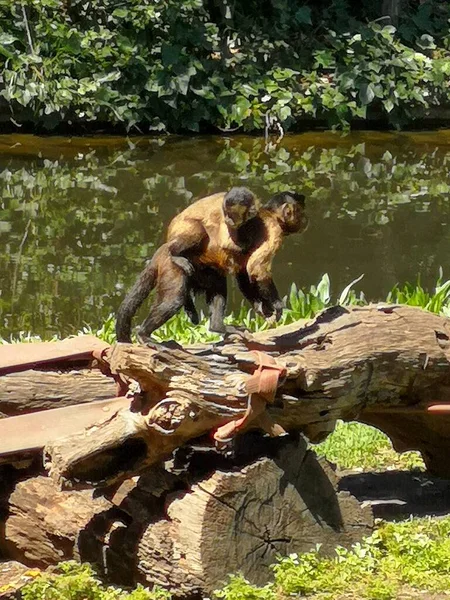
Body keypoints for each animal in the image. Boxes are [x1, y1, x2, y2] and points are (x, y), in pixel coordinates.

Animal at [115, 189, 310, 346]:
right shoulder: (273, 230)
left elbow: (243, 272)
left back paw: (217, 326)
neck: (270, 214)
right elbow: (256, 269)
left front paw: (262, 308)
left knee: (217, 285)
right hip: (172, 265)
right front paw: (277, 305)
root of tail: (163, 249)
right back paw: (143, 334)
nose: (305, 220)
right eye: (300, 212)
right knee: (173, 300)